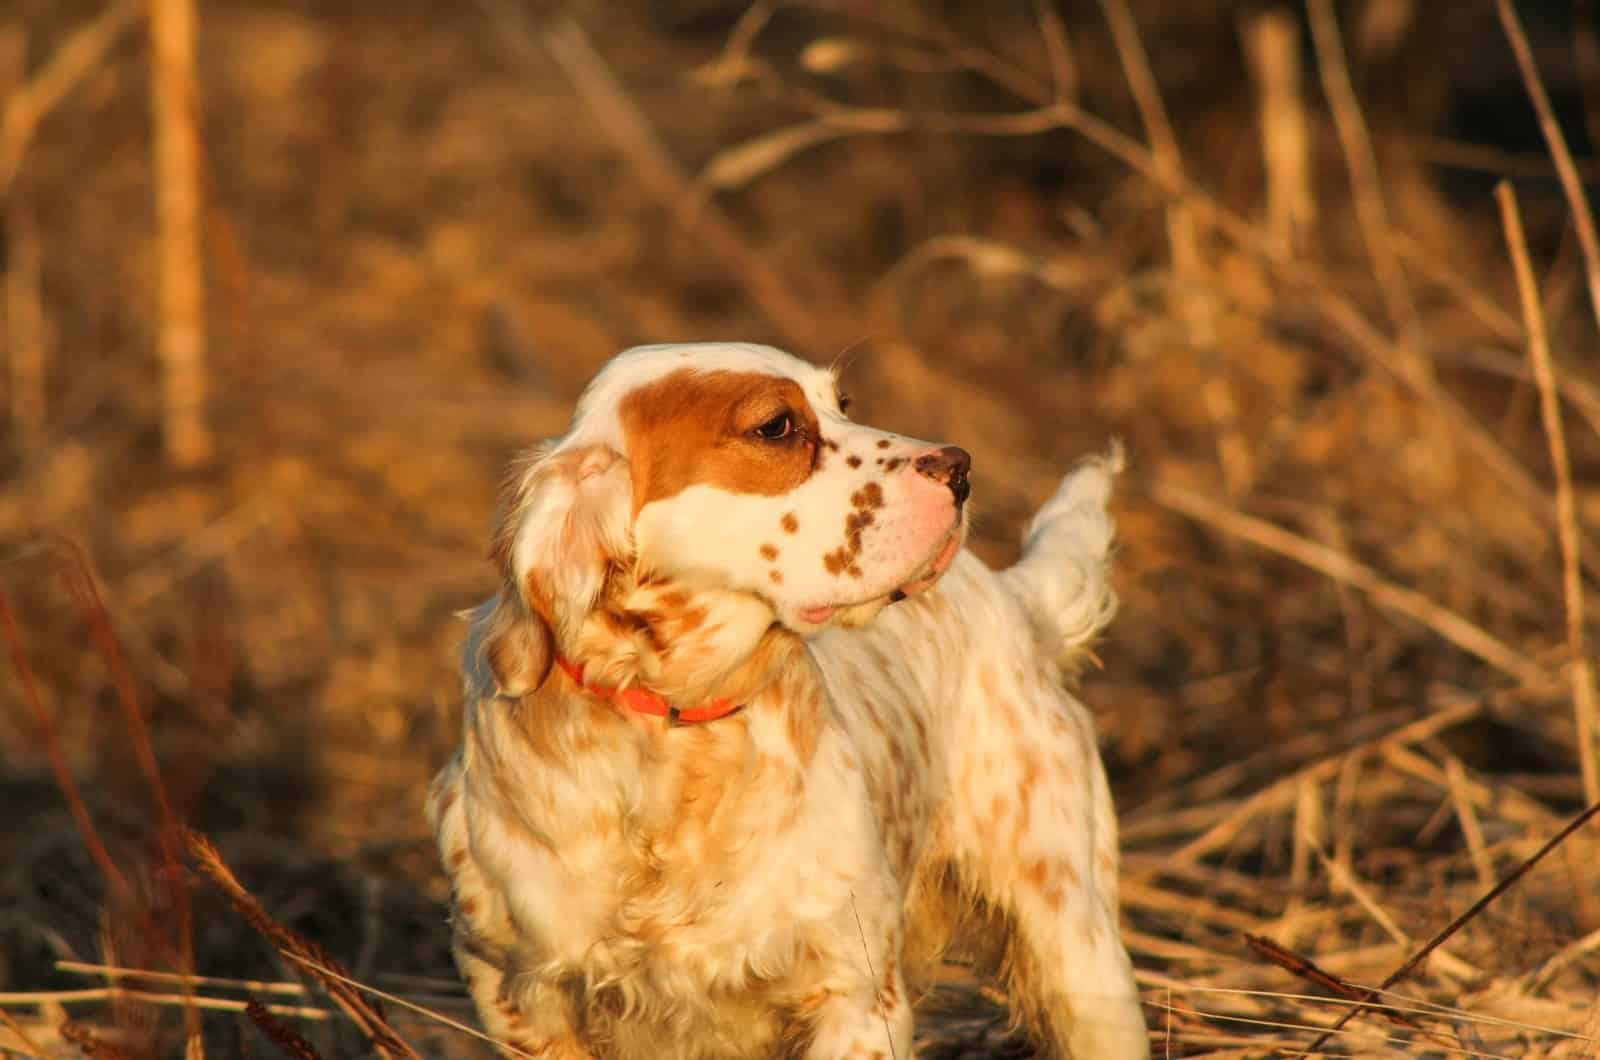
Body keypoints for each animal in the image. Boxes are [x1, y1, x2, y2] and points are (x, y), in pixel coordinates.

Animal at [428, 344, 1152, 1056]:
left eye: (843, 404)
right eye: (776, 427)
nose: (961, 468)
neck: (676, 733)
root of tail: (1014, 596)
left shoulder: (857, 996)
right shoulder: (515, 991)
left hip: (1078, 951)